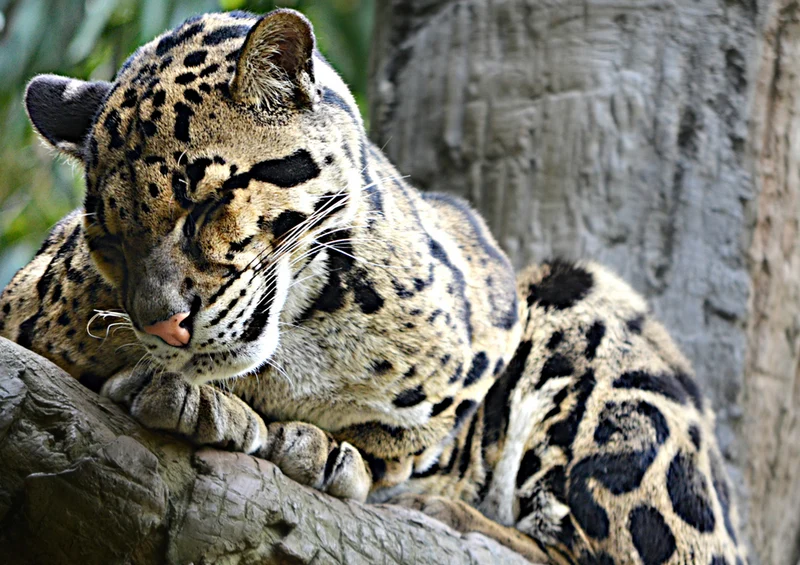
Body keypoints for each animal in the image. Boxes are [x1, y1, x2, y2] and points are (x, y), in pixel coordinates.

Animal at [0, 9, 747, 565]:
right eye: (108, 242)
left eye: (207, 205)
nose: (162, 324)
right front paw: (200, 398)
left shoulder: (488, 293)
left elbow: (413, 436)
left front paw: (321, 447)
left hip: (590, 306)